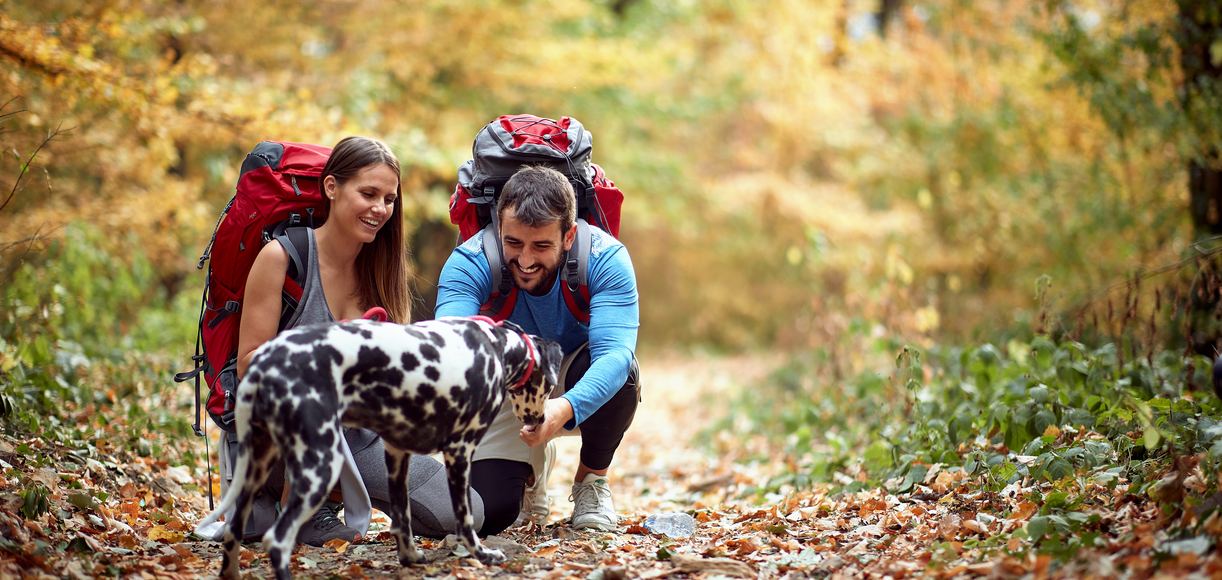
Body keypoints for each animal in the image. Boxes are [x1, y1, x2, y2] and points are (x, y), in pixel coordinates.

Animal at [196, 315, 562, 578]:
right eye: (549, 384)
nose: (539, 419)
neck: (495, 348)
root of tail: (266, 365)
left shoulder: (397, 455)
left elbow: (402, 519)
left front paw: (410, 557)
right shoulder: (460, 452)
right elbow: (467, 520)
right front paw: (482, 555)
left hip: (256, 471)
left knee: (233, 535)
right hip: (320, 465)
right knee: (278, 539)